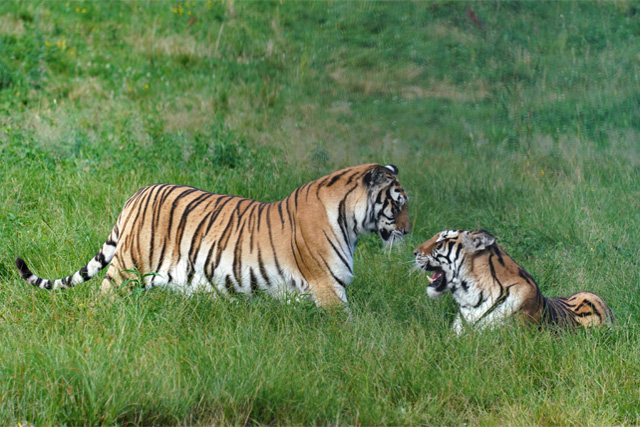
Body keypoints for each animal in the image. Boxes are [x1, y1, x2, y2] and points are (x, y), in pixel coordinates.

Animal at [16, 164, 416, 308]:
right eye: (398, 204)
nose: (410, 232)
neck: (351, 222)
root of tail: (137, 195)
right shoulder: (329, 289)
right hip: (127, 267)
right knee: (102, 296)